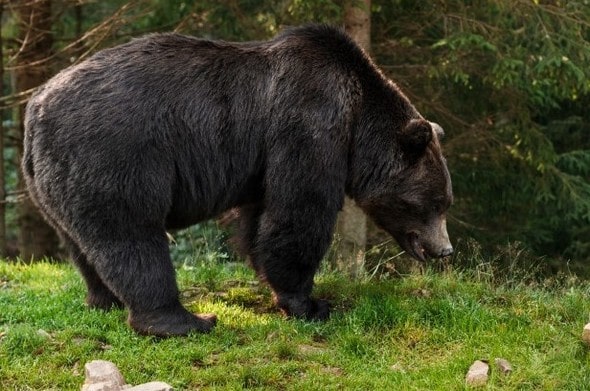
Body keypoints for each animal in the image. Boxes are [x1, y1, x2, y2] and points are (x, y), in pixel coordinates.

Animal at [20, 24, 456, 336]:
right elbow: (299, 212)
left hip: (53, 180)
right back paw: (185, 321)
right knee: (132, 236)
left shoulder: (264, 161)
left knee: (82, 244)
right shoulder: (310, 124)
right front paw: (311, 304)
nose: (445, 250)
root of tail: (35, 108)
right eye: (434, 202)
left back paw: (103, 300)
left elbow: (261, 219)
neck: (357, 124)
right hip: (115, 154)